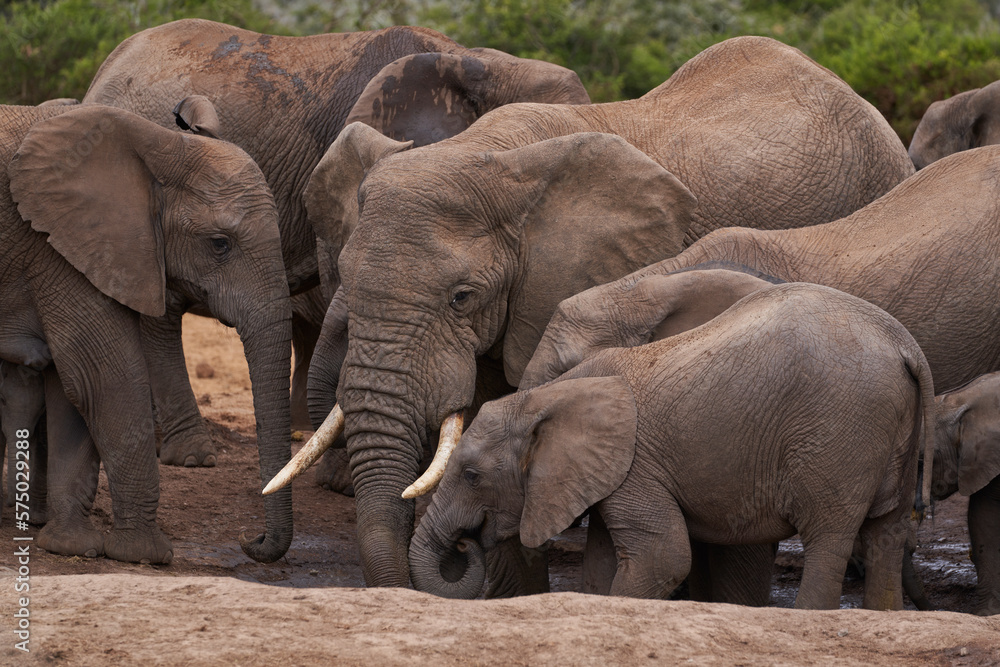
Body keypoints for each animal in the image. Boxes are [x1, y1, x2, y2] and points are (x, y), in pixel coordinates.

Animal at [408, 282, 934, 609]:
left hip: (838, 431)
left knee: (829, 536)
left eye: (472, 475)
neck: (544, 399)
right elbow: (602, 567)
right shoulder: (611, 476)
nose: (464, 542)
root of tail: (905, 344)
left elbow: (663, 556)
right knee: (886, 535)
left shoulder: (635, 466)